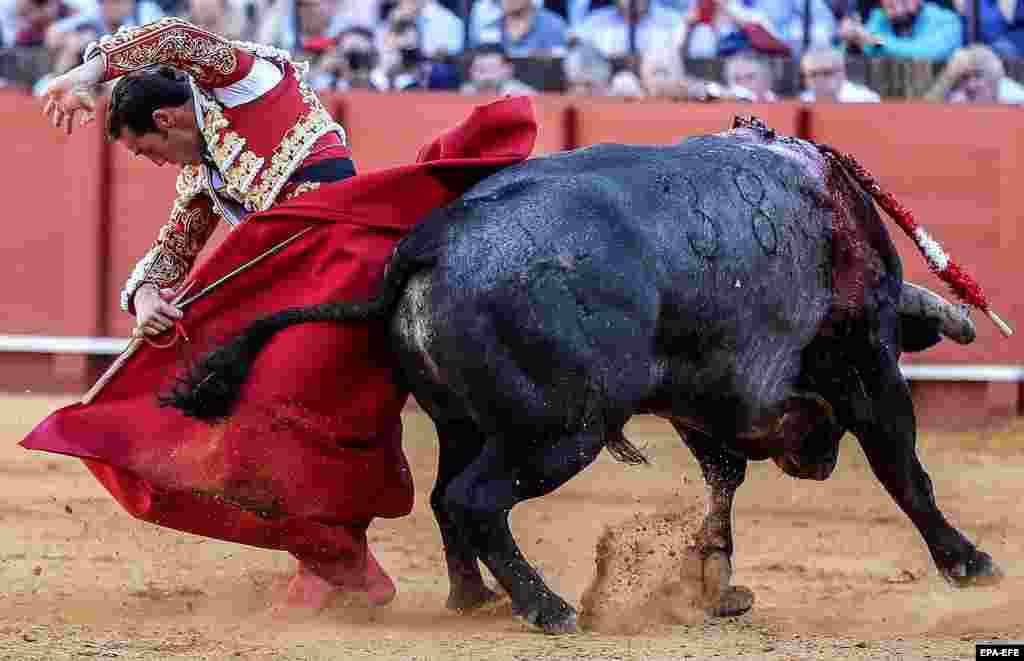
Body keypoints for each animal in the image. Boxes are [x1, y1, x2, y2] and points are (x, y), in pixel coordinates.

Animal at [167, 121, 999, 634]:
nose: (815, 461)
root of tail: (431, 245)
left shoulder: (704, 404)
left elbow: (722, 487)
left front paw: (717, 584)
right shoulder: (867, 361)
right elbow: (904, 469)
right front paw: (969, 561)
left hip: (464, 422)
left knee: (445, 497)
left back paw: (474, 597)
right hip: (561, 431)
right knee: (474, 500)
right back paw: (548, 607)